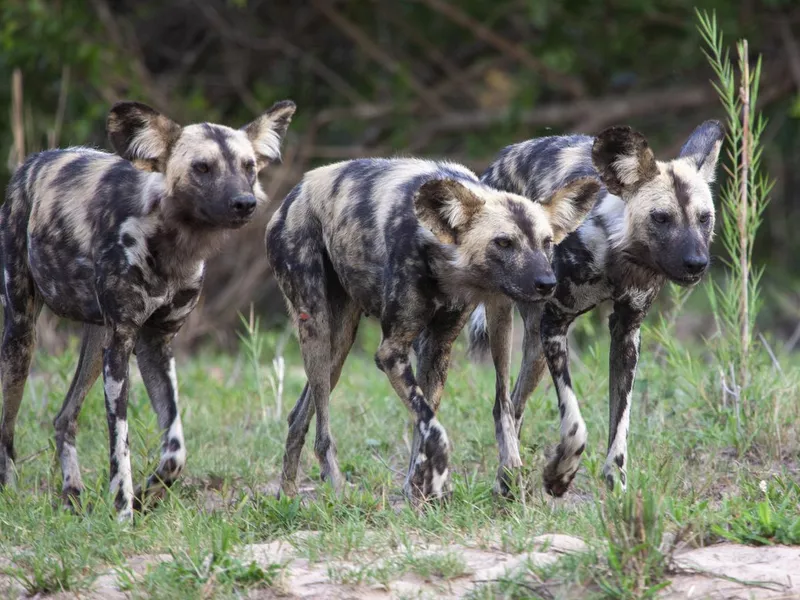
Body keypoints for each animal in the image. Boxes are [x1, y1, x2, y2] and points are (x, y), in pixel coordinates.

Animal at [0, 99, 294, 520]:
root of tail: (34, 160)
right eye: (202, 167)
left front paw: (148, 495)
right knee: (7, 426)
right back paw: (10, 492)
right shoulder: (123, 348)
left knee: (63, 417)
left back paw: (72, 493)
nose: (245, 203)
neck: (173, 244)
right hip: (22, 337)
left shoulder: (155, 344)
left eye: (248, 166)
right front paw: (123, 509)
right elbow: (119, 444)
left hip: (97, 344)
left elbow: (175, 448)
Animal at [266, 158, 596, 502]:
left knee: (299, 415)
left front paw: (420, 490)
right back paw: (333, 485)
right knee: (323, 428)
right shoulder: (391, 353)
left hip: (344, 345)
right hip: (316, 327)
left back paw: (287, 494)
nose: (548, 283)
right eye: (504, 242)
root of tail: (295, 192)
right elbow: (433, 428)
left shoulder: (438, 346)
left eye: (547, 243)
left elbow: (431, 424)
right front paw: (435, 479)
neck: (445, 261)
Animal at [468, 120, 724, 496]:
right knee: (501, 403)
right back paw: (506, 477)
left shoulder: (626, 334)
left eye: (704, 218)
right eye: (661, 218)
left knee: (515, 404)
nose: (697, 263)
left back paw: (511, 478)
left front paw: (616, 485)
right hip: (506, 326)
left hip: (536, 354)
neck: (618, 256)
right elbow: (575, 424)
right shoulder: (555, 325)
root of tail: (498, 161)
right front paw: (560, 473)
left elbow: (621, 422)